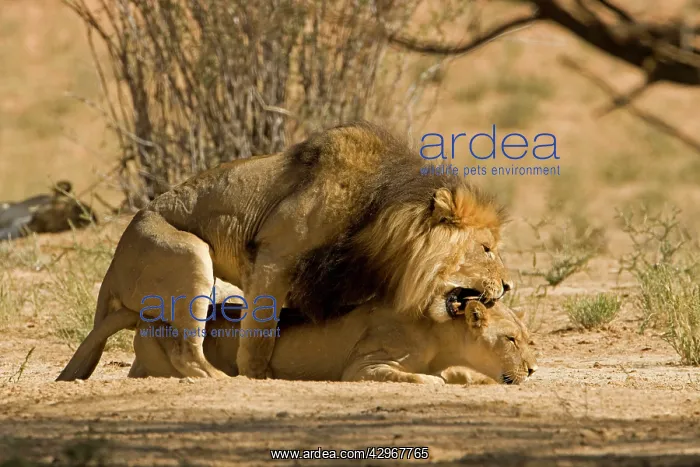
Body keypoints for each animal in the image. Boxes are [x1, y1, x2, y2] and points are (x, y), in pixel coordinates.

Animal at [56, 121, 511, 382]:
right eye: (486, 248)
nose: (508, 286)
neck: (377, 222)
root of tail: (113, 267)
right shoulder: (276, 256)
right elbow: (259, 331)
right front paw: (257, 374)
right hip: (189, 257)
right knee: (187, 350)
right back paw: (220, 379)